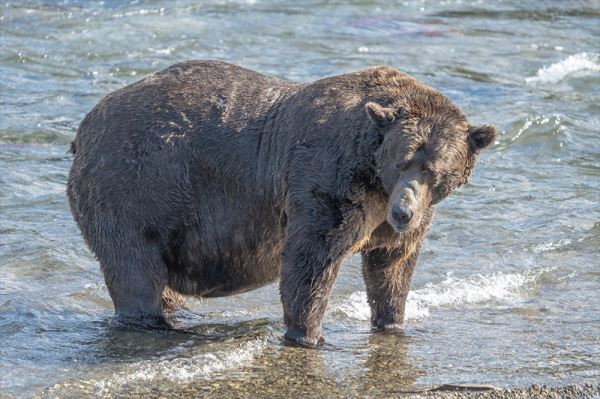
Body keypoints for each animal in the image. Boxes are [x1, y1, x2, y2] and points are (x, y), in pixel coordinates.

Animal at [67, 59, 496, 346]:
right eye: (402, 161)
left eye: (433, 170)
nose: (403, 212)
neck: (373, 175)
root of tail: (84, 127)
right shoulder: (327, 181)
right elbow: (311, 260)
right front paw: (309, 335)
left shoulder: (391, 217)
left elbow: (392, 265)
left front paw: (392, 323)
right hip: (135, 187)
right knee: (134, 267)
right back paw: (152, 323)